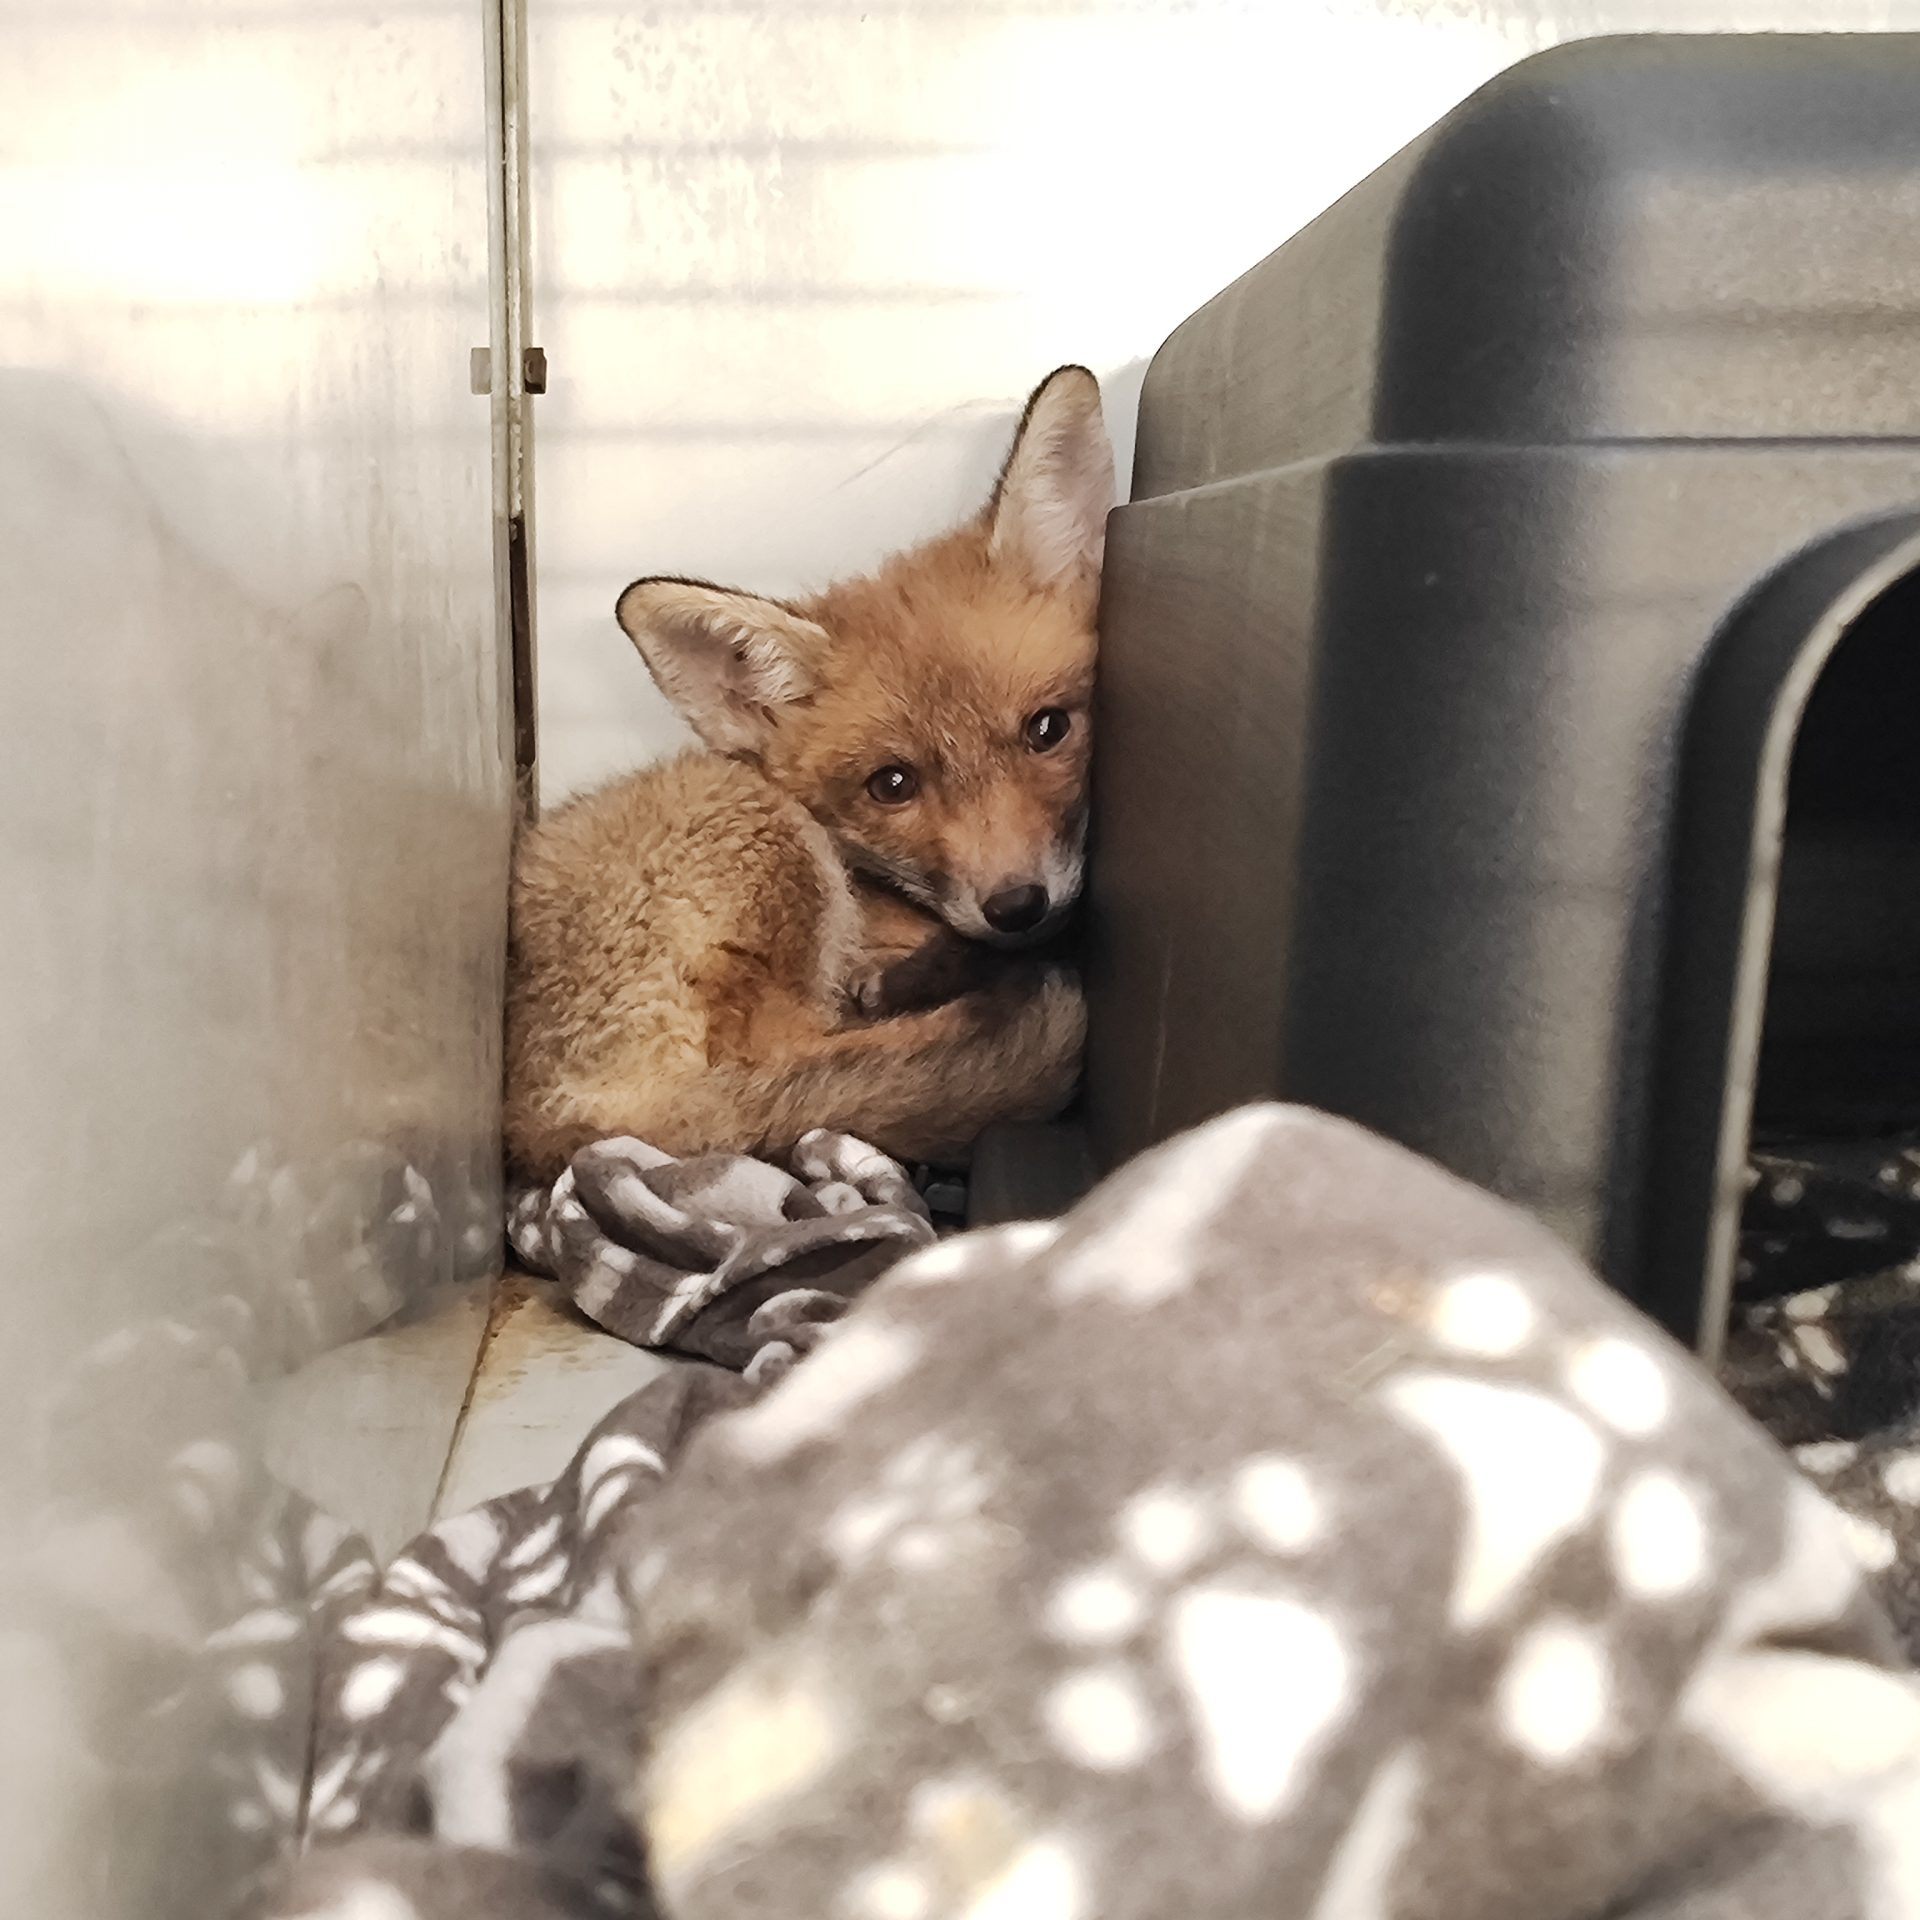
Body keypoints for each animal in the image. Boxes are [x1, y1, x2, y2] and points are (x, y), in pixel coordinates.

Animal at [503, 365, 1115, 1180]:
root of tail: (539, 1126)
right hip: (769, 832)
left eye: (1048, 730)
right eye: (893, 785)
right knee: (789, 1061)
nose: (1017, 906)